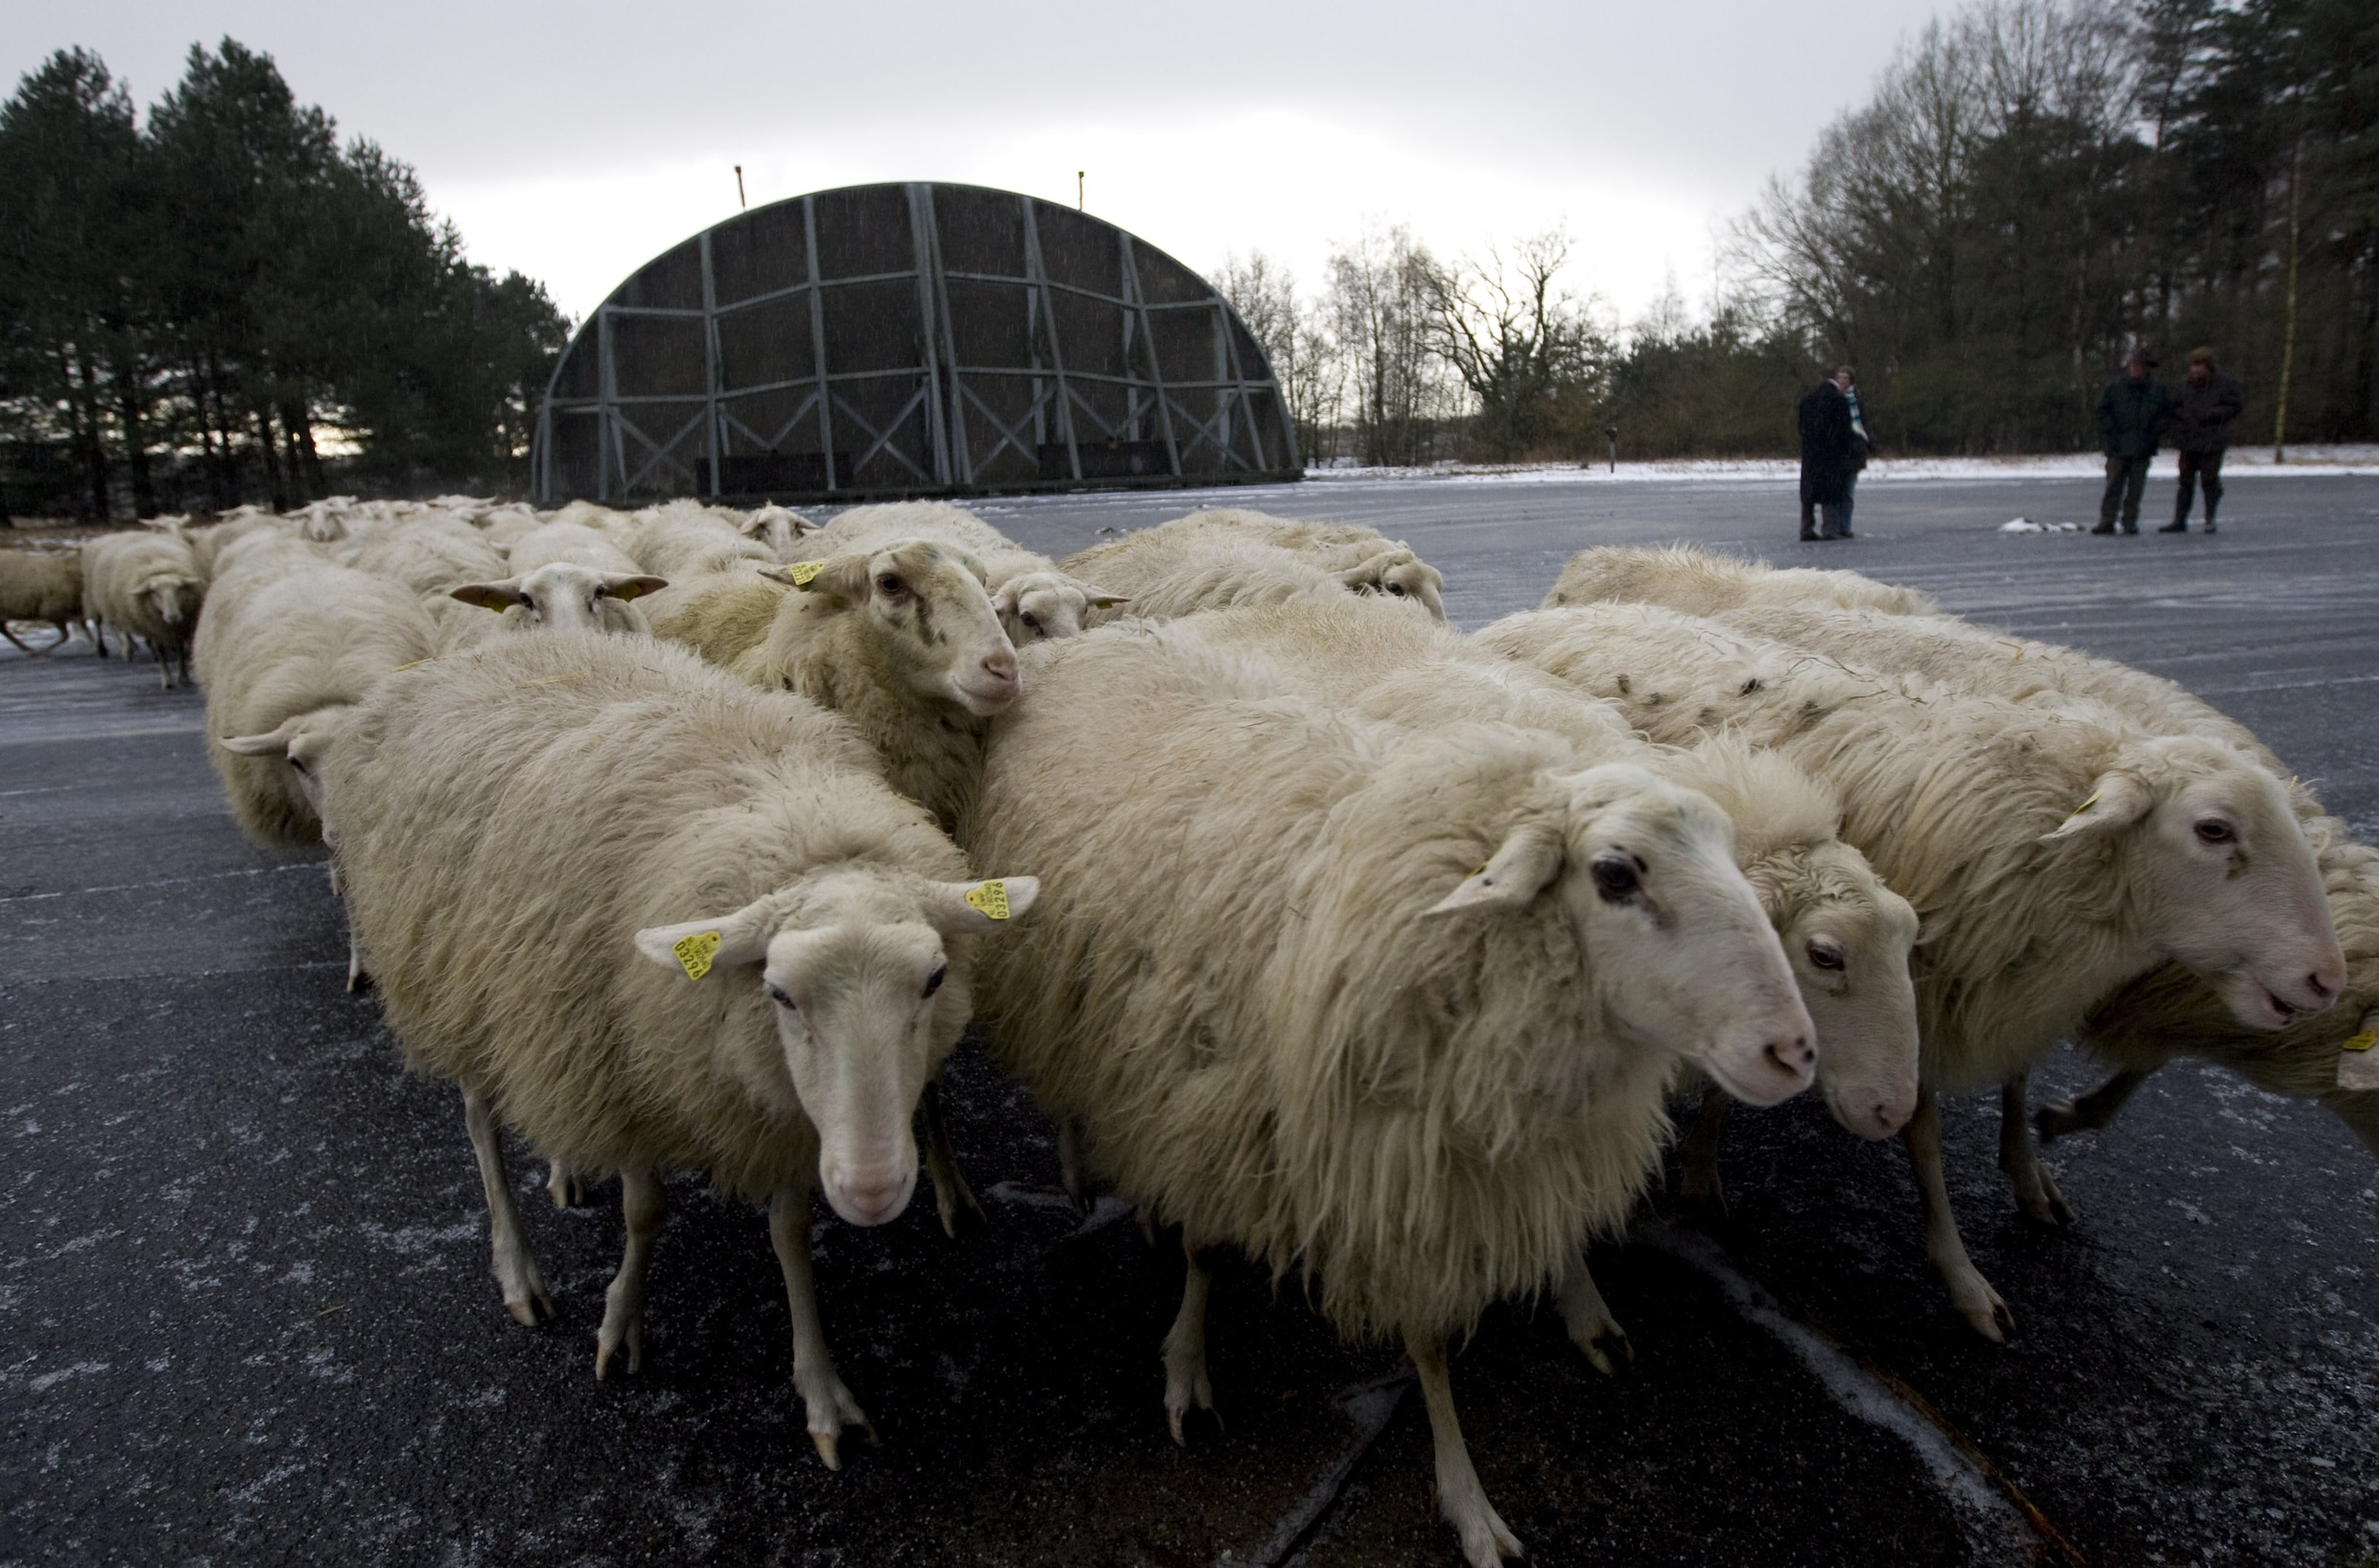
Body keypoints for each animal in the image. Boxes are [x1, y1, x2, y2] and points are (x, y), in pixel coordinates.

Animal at [311, 632, 1037, 1465]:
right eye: (779, 993)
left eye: (935, 978)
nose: (873, 1189)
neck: (784, 805)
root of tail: (475, 650)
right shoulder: (621, 1063)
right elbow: (645, 1210)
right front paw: (621, 1321)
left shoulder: (771, 1108)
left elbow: (789, 1235)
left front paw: (820, 1389)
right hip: (450, 981)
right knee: (479, 1123)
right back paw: (518, 1268)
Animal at [955, 606, 1807, 1560]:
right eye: (1616, 873)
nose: (1792, 1048)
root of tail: (1095, 638)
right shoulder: (1225, 1111)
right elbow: (1229, 1260)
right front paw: (1190, 1369)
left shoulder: (1449, 1165)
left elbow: (1495, 1282)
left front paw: (1536, 1375)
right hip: (1062, 996)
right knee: (1068, 1082)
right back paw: (1081, 1168)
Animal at [1484, 601, 2341, 1342]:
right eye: (2214, 828)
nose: (2325, 980)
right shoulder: (1924, 998)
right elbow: (1923, 1137)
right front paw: (1966, 1277)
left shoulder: (1981, 984)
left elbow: (2007, 1082)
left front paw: (2028, 1172)